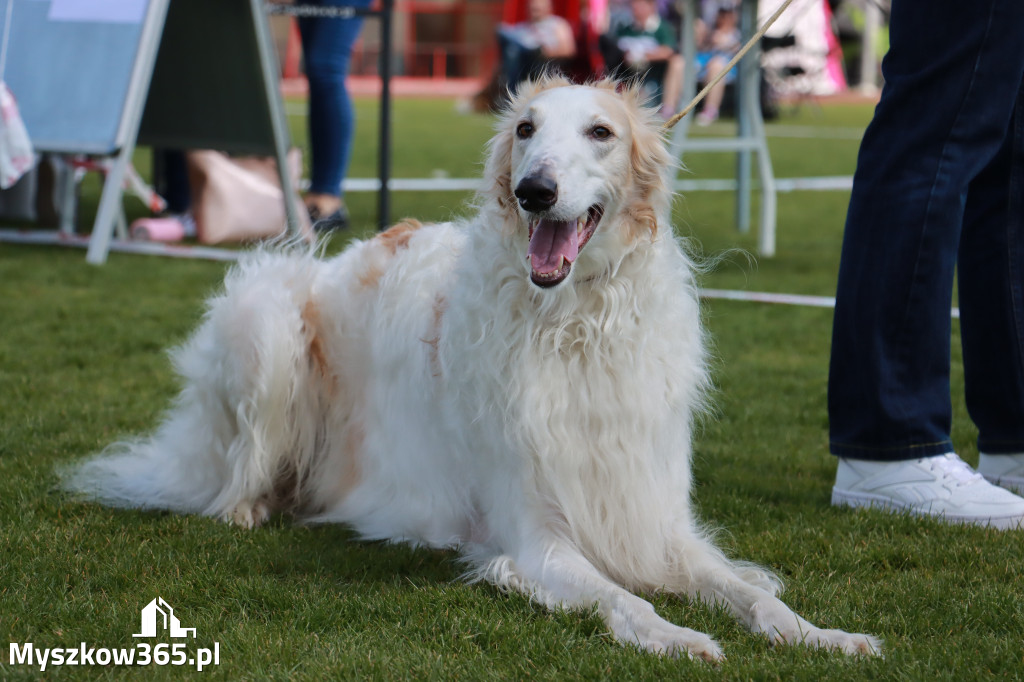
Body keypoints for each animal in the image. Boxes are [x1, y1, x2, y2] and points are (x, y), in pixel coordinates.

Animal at [64, 76, 880, 655]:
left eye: (601, 131)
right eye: (524, 129)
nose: (534, 191)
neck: (573, 327)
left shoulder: (654, 518)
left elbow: (751, 593)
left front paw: (823, 634)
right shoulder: (536, 537)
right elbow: (627, 598)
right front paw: (676, 635)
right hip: (263, 321)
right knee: (232, 478)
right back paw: (250, 506)